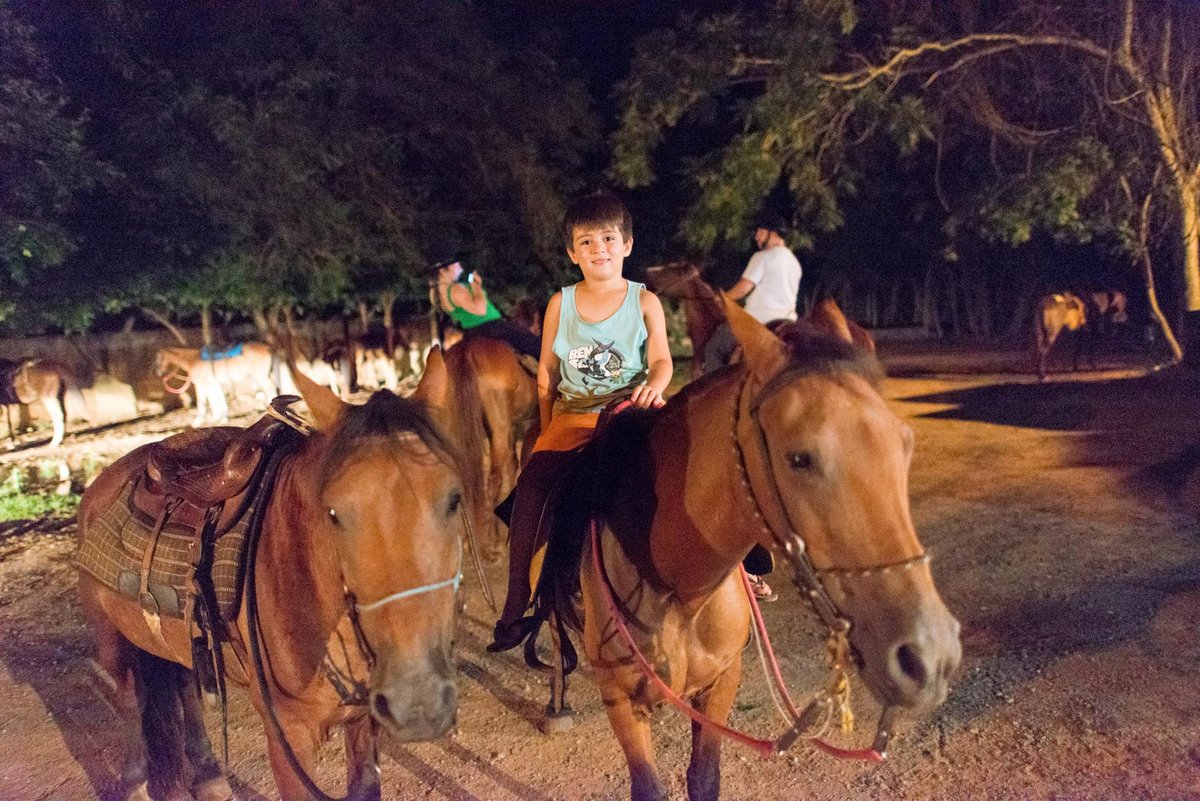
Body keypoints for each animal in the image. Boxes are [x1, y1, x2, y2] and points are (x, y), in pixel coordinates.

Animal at [77, 357, 465, 801]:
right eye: (334, 513)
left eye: (455, 499)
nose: (419, 704)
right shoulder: (289, 739)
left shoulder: (363, 723)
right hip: (112, 643)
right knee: (128, 698)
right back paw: (136, 783)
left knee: (184, 685)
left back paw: (208, 773)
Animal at [530, 296, 960, 801]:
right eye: (799, 458)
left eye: (905, 445)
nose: (931, 657)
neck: (675, 584)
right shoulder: (620, 699)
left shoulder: (721, 685)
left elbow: (704, 777)